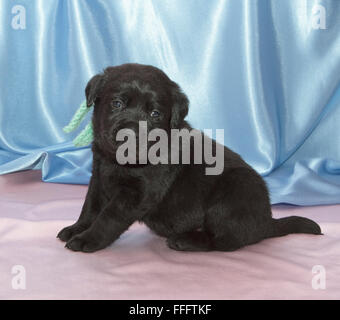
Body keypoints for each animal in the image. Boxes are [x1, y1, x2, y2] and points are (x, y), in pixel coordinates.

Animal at [56, 63, 322, 252]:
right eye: (117, 103)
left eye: (155, 113)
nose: (130, 135)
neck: (118, 163)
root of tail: (267, 221)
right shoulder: (99, 177)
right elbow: (90, 207)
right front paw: (76, 229)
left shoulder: (136, 193)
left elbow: (108, 217)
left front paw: (88, 239)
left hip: (233, 192)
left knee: (227, 240)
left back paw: (187, 240)